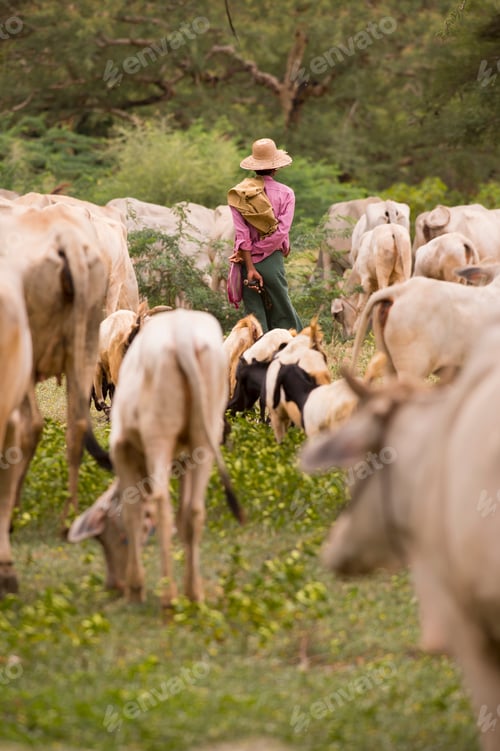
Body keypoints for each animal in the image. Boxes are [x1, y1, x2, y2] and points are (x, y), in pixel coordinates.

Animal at [70, 309, 244, 607]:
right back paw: (193, 593)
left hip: (158, 438)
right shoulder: (184, 459)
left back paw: (167, 594)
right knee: (194, 511)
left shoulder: (122, 450)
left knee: (162, 504)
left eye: (103, 537)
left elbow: (134, 512)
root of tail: (182, 338)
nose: (113, 583)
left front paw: (136, 586)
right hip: (203, 441)